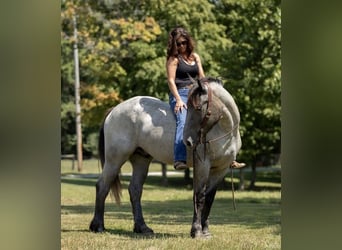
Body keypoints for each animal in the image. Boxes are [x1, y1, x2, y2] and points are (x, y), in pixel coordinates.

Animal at [88, 76, 242, 238]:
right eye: (191, 108)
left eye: (198, 108)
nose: (188, 141)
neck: (224, 131)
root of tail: (114, 110)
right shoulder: (203, 165)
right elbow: (199, 196)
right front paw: (196, 231)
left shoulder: (220, 169)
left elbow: (210, 199)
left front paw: (205, 231)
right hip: (115, 160)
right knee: (102, 186)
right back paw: (98, 226)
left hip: (141, 160)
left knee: (135, 190)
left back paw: (142, 227)